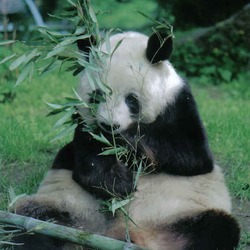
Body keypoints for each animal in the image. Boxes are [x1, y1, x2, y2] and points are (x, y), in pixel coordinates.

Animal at [10, 31, 240, 250]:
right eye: (97, 96)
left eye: (131, 99)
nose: (109, 126)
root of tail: (111, 236)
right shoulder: (83, 125)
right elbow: (87, 160)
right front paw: (118, 182)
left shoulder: (179, 104)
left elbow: (192, 155)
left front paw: (125, 144)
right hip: (64, 206)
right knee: (28, 220)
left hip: (183, 216)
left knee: (217, 229)